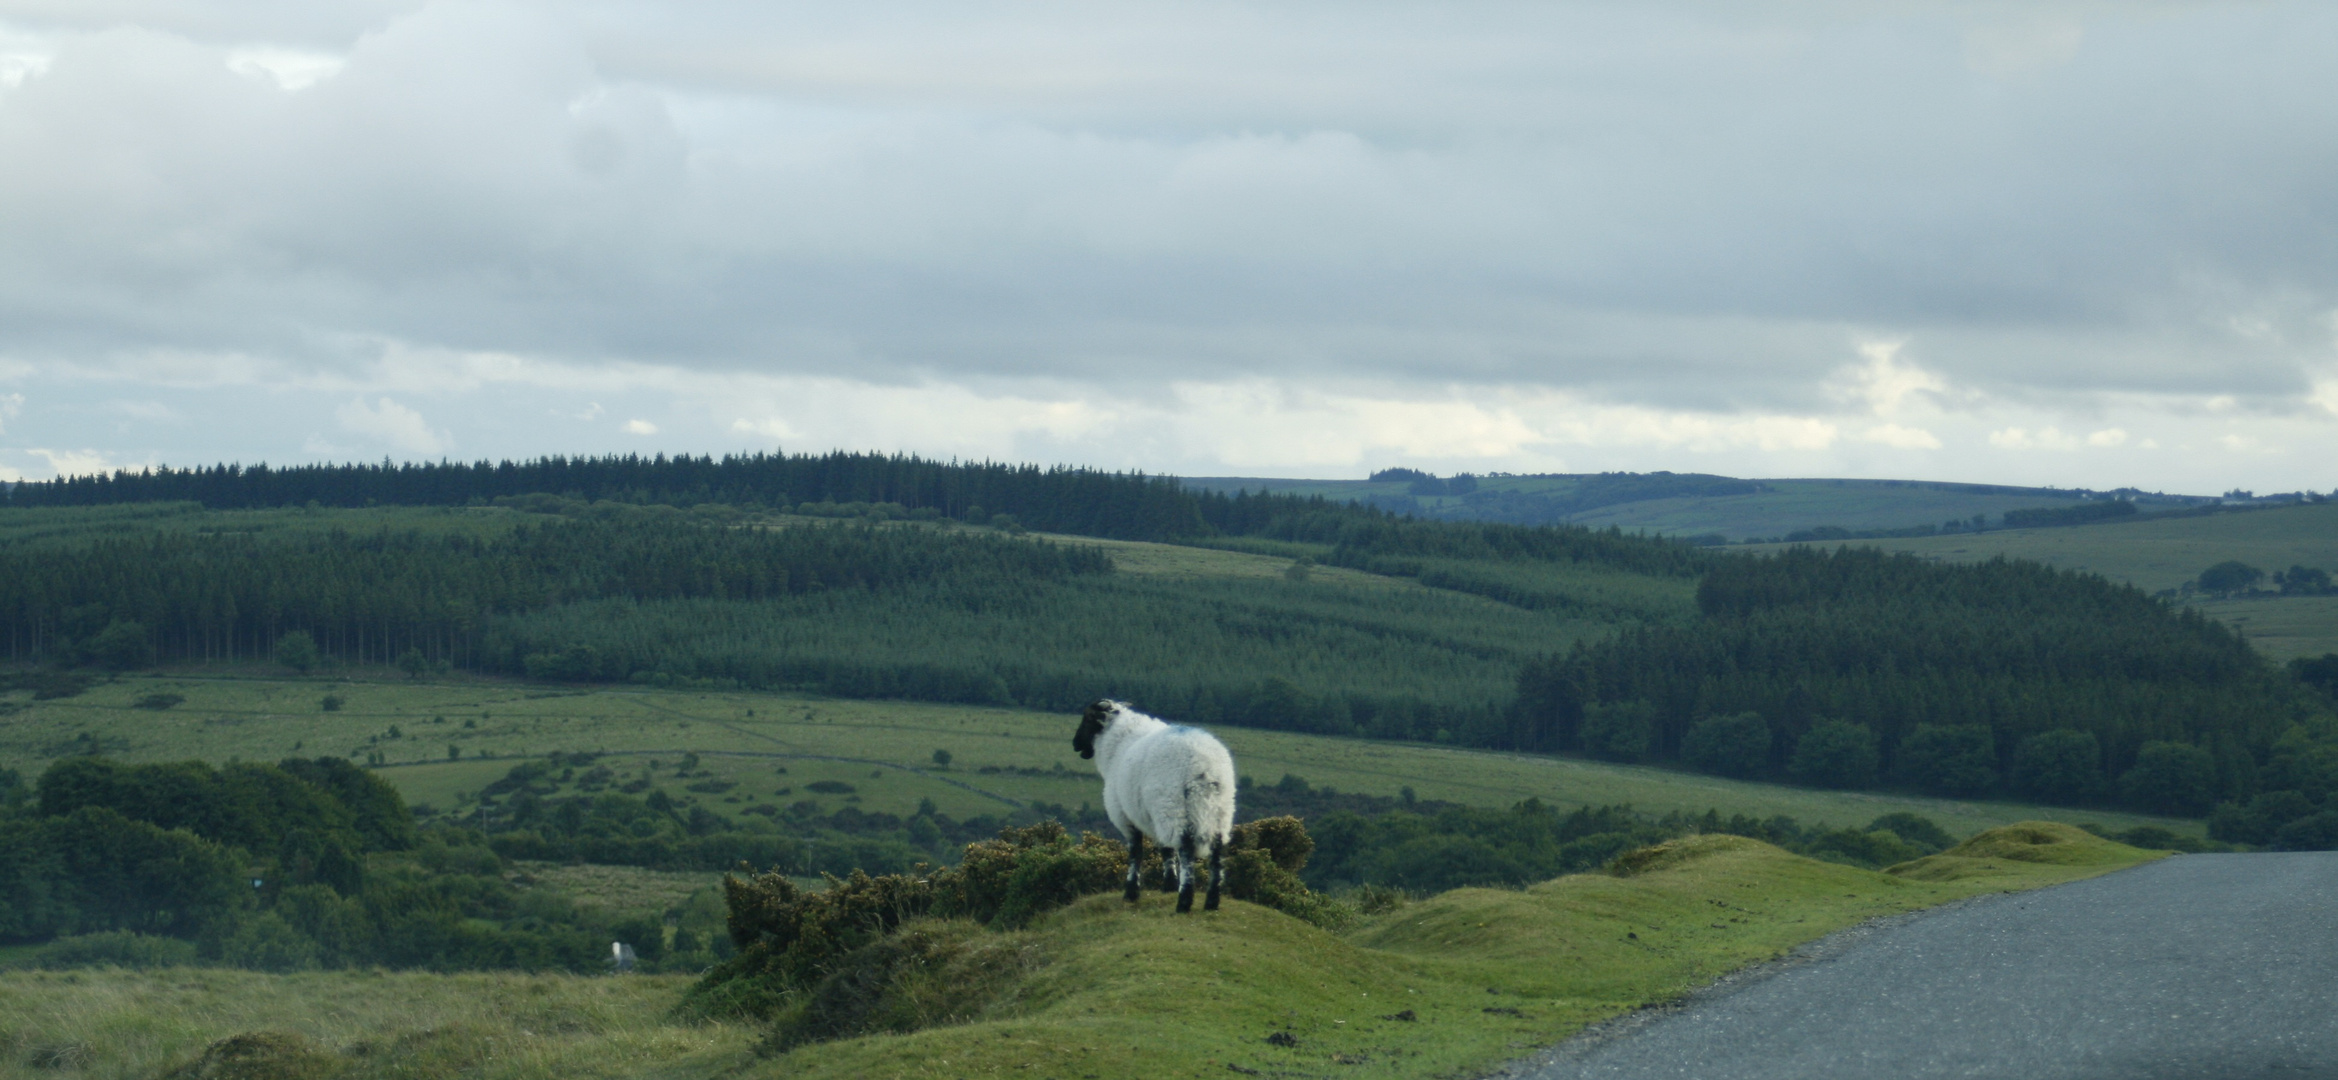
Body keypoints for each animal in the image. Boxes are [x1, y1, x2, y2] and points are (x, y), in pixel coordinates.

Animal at [1070, 701, 1243, 911]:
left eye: (1087, 719)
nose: (1075, 744)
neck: (1117, 743)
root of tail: (1204, 767)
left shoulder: (1125, 815)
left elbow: (1136, 852)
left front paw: (1131, 892)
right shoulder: (1152, 817)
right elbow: (1166, 850)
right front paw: (1168, 886)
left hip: (1172, 806)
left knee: (1186, 849)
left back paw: (1184, 902)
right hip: (1220, 808)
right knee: (1217, 850)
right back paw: (1211, 902)